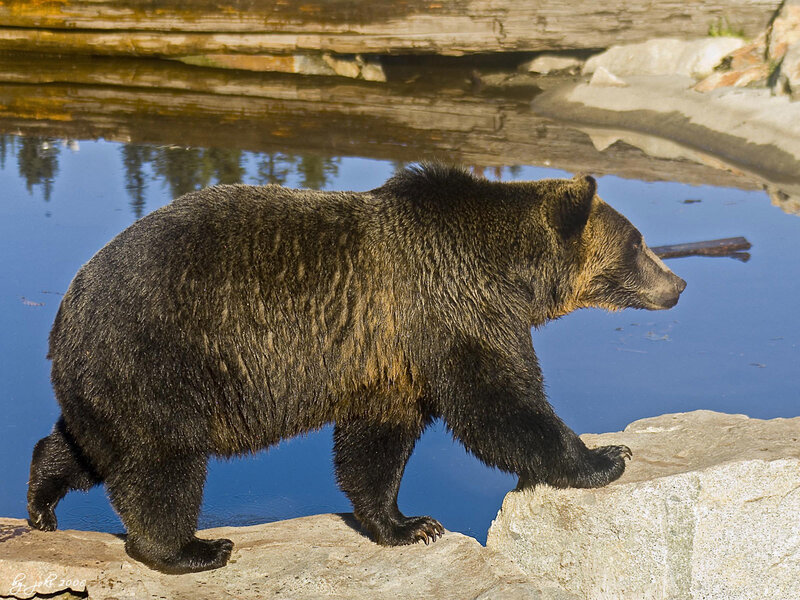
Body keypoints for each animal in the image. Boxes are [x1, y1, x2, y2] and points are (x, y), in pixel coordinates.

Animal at [27, 163, 686, 574]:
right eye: (639, 243)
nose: (677, 283)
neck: (514, 274)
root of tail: (67, 307)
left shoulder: (392, 354)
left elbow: (377, 445)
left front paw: (408, 523)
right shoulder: (454, 310)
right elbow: (501, 402)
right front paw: (604, 457)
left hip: (106, 383)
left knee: (88, 444)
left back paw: (41, 502)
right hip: (162, 357)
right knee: (163, 462)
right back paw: (193, 549)